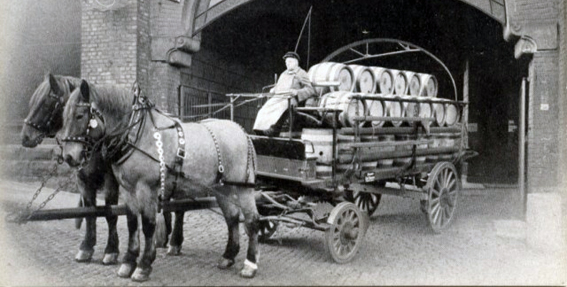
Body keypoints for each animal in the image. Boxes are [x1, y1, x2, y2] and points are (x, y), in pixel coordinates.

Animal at [20, 75, 120, 266]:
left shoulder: (111, 182)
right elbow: (90, 212)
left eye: (46, 104)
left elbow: (110, 214)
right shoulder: (83, 181)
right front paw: (86, 247)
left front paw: (111, 251)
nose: (25, 138)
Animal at [61, 80, 260, 282]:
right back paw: (228, 256)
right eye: (64, 116)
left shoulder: (146, 189)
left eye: (79, 115)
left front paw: (143, 266)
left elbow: (148, 226)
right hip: (222, 188)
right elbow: (132, 224)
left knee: (252, 220)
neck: (138, 134)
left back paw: (250, 264)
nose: (68, 156)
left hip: (243, 188)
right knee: (232, 218)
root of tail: (242, 132)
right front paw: (128, 262)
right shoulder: (128, 190)